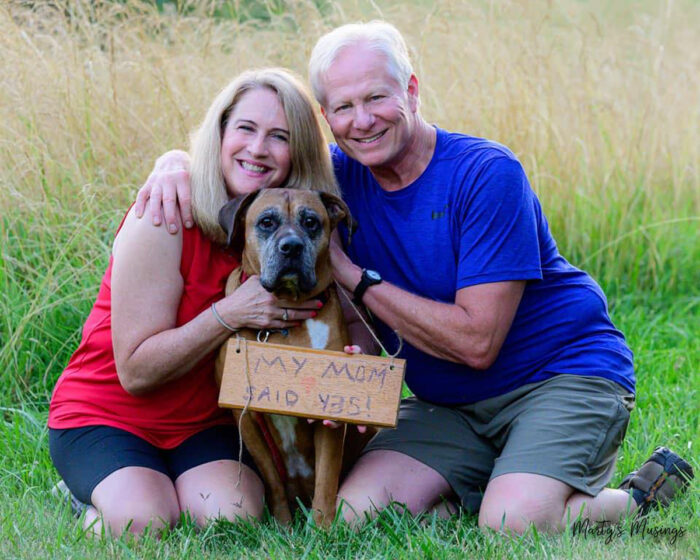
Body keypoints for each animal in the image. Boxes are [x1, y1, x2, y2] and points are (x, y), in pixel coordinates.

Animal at [215, 190, 370, 528]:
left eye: (311, 222)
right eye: (266, 222)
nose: (291, 246)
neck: (286, 317)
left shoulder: (329, 420)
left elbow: (326, 478)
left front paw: (322, 530)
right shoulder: (246, 419)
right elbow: (272, 479)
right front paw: (283, 526)